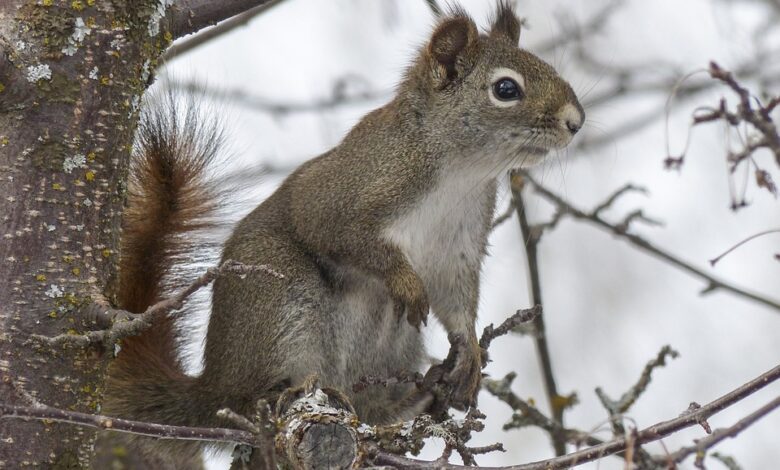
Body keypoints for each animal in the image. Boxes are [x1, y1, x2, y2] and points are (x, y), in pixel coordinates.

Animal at [105, 0, 584, 460]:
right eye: (506, 89)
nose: (576, 121)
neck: (462, 171)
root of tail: (211, 388)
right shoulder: (343, 192)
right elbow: (340, 234)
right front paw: (404, 280)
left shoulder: (460, 244)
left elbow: (456, 297)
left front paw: (469, 351)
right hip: (278, 299)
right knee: (249, 398)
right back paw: (285, 395)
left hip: (393, 346)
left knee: (371, 408)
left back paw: (417, 397)